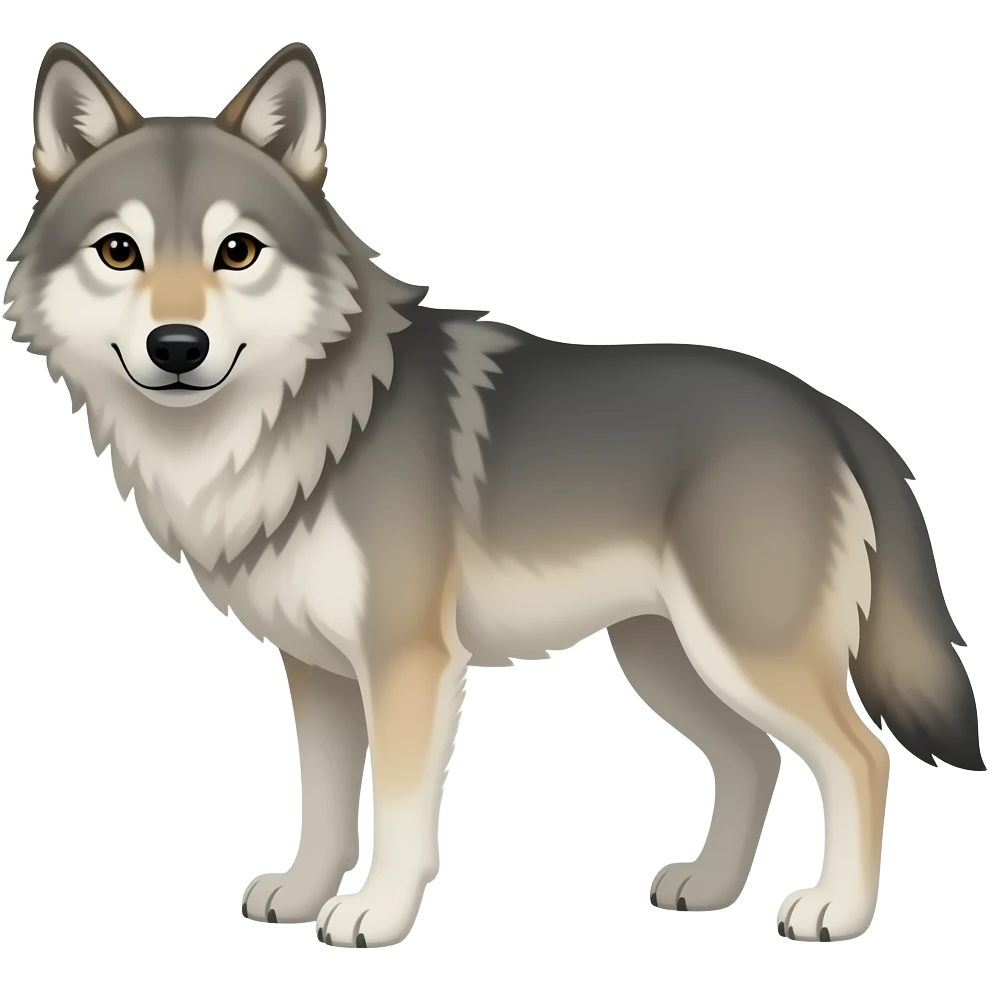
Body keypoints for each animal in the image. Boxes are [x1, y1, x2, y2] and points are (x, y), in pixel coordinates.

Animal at [3, 40, 984, 948]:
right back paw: (707, 887)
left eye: (236, 251)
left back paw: (836, 911)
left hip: (743, 652)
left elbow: (400, 813)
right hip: (666, 659)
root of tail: (828, 409)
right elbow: (321, 802)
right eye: (119, 251)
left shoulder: (406, 662)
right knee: (753, 758)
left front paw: (375, 914)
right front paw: (304, 893)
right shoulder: (317, 671)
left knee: (859, 757)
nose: (178, 345)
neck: (302, 427)